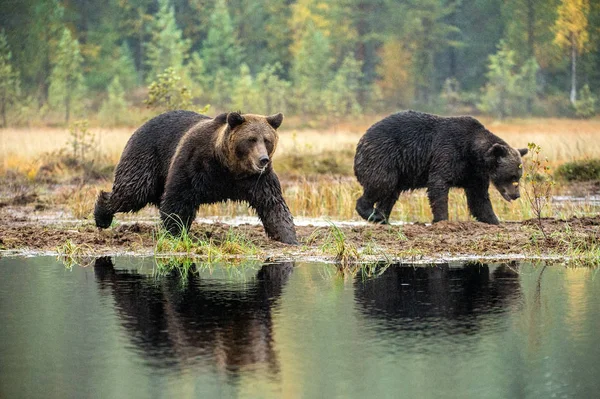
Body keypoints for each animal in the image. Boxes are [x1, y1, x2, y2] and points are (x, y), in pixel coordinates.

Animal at [94, 111, 298, 245]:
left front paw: (288, 238)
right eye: (251, 139)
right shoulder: (195, 165)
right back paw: (101, 215)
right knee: (132, 191)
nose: (263, 159)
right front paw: (175, 233)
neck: (228, 166)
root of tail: (141, 126)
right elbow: (178, 201)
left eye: (267, 140)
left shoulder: (256, 180)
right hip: (146, 158)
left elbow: (273, 205)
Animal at [354, 111, 528, 227]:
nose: (516, 195)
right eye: (512, 176)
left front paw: (494, 220)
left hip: (399, 170)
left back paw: (382, 217)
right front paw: (442, 220)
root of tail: (362, 139)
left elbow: (479, 199)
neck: (472, 151)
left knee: (391, 194)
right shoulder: (448, 152)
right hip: (385, 157)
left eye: (519, 176)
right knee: (382, 183)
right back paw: (371, 213)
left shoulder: (473, 173)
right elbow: (439, 185)